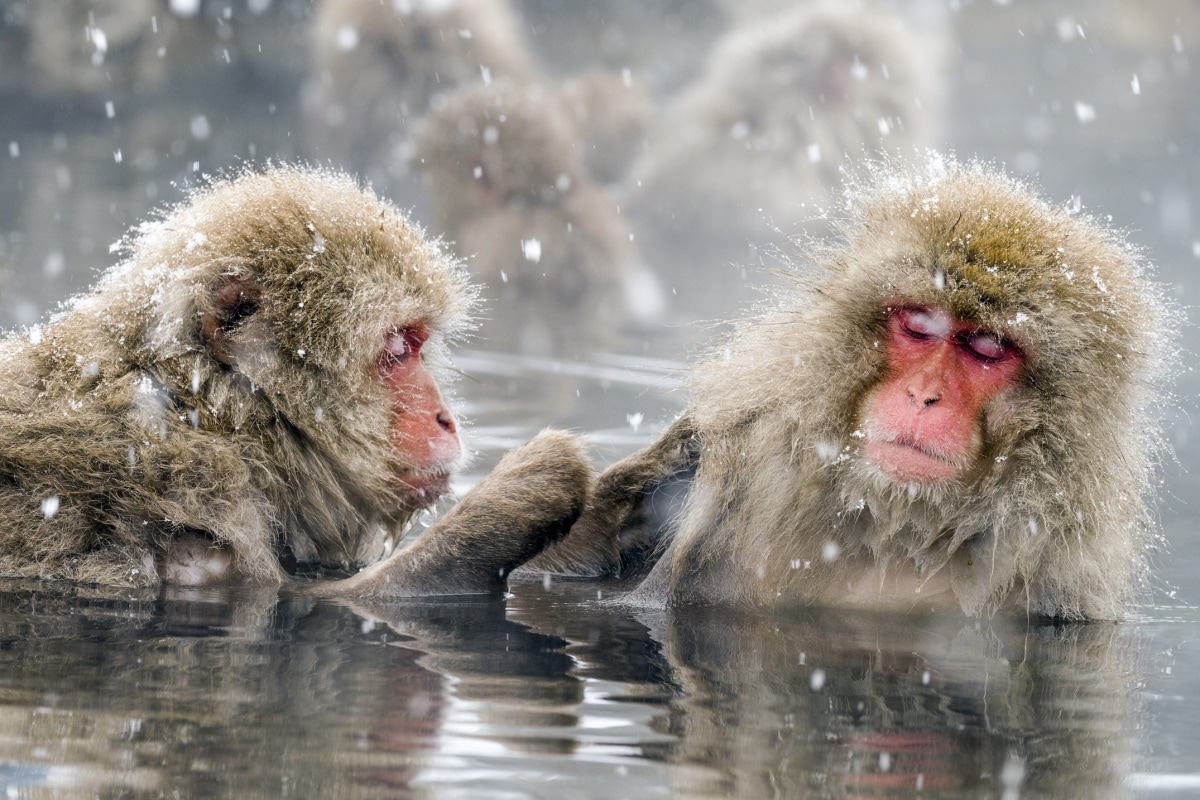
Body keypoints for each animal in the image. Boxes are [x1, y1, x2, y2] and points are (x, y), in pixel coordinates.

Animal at [0, 165, 588, 597]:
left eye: (417, 343)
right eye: (397, 350)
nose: (446, 419)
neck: (206, 414)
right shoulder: (197, 497)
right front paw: (516, 498)